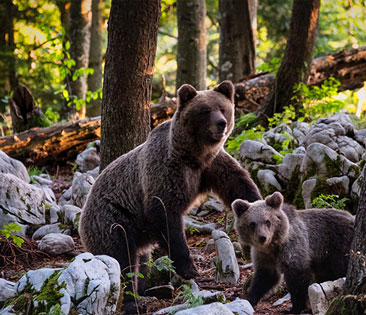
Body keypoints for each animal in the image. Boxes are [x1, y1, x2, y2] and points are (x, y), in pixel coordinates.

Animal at [78, 81, 262, 312]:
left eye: (222, 108)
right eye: (204, 110)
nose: (221, 123)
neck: (193, 155)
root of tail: (83, 211)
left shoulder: (212, 165)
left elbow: (238, 184)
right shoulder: (165, 171)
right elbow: (165, 214)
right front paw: (189, 268)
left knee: (140, 261)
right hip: (113, 220)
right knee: (122, 261)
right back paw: (131, 302)